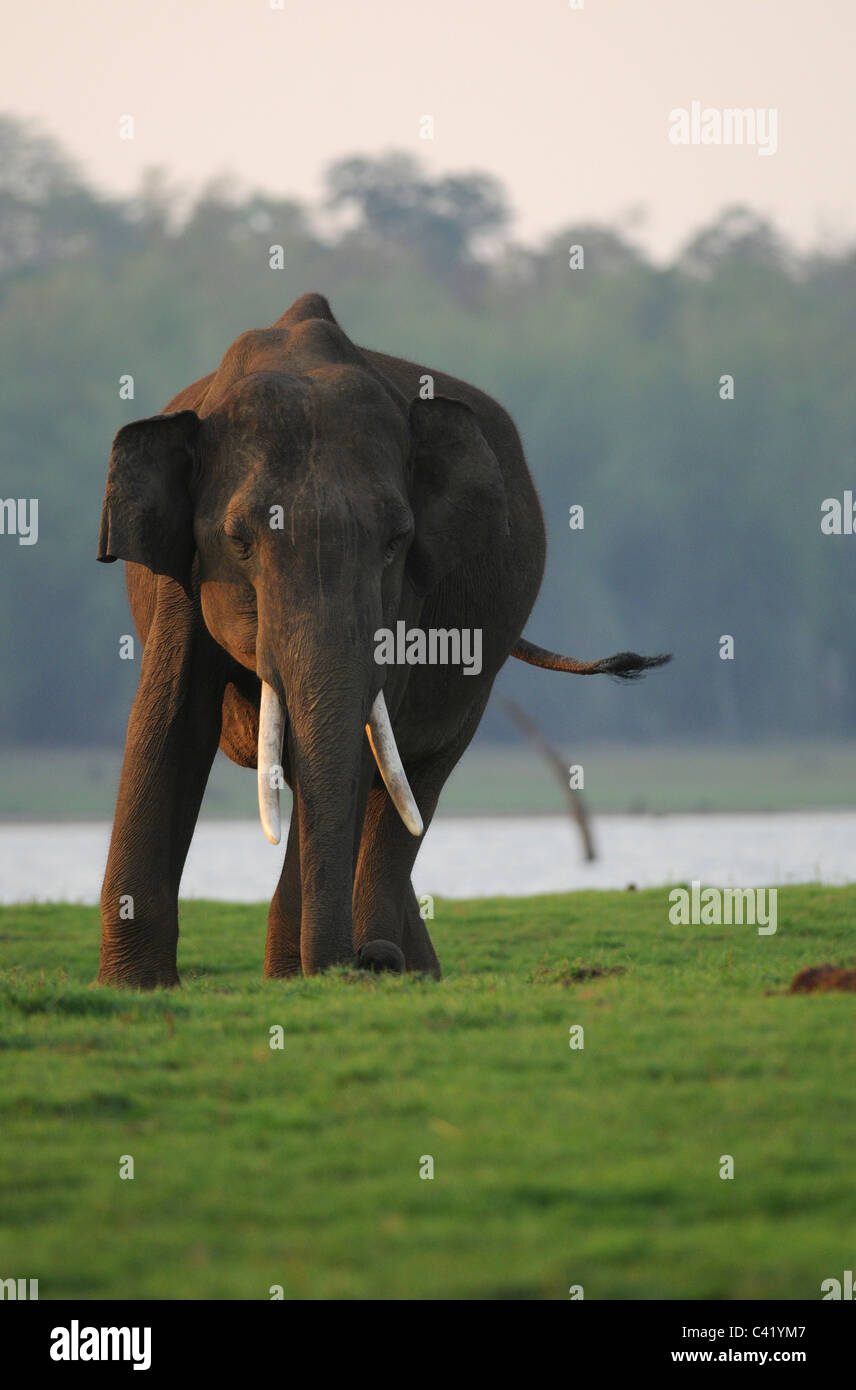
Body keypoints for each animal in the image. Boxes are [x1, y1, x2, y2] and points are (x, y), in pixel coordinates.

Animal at [95, 293, 669, 989]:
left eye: (396, 540)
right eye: (238, 540)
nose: (362, 962)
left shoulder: (408, 599)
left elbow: (364, 748)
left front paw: (297, 980)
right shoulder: (181, 576)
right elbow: (169, 725)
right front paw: (136, 987)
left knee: (415, 781)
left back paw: (398, 962)